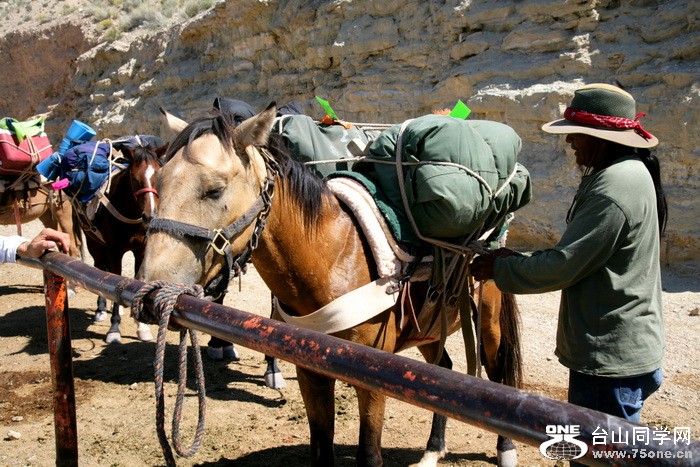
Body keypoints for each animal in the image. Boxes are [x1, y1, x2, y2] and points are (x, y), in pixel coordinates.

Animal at [78, 139, 167, 344]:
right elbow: (115, 279)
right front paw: (114, 328)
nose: (150, 215)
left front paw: (141, 327)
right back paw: (101, 309)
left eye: (159, 176)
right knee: (99, 268)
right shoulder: (114, 250)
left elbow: (138, 281)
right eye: (134, 178)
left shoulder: (140, 250)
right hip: (94, 243)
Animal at [138, 107, 520, 467]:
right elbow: (321, 450)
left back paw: (505, 450)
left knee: (500, 375)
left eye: (214, 190)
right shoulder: (310, 372)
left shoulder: (372, 380)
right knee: (444, 371)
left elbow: (370, 455)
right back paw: (432, 450)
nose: (153, 292)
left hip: (488, 320)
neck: (333, 256)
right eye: (160, 182)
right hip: (428, 328)